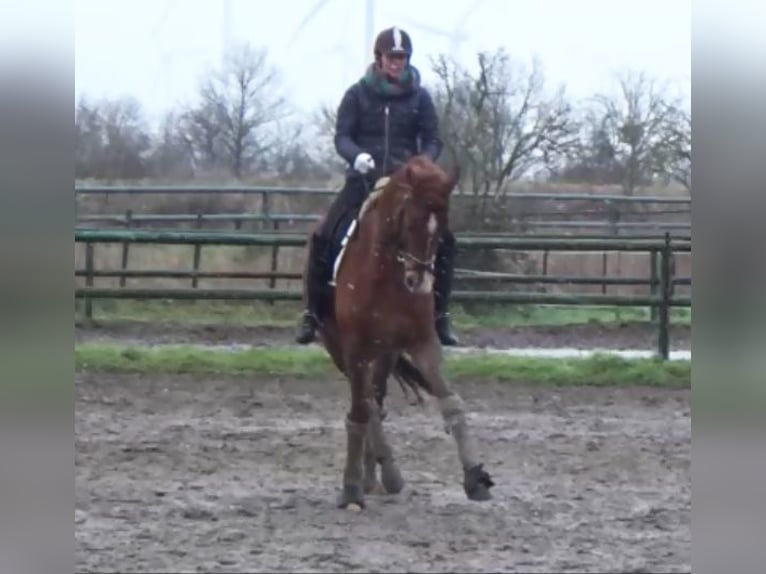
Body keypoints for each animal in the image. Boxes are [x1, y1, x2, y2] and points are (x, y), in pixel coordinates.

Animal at [304, 155, 496, 510]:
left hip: (385, 354)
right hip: (341, 350)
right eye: (411, 221)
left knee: (376, 401)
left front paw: (475, 477)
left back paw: (377, 476)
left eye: (442, 228)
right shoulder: (354, 348)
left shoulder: (421, 342)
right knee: (367, 405)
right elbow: (358, 413)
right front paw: (350, 490)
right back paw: (376, 476)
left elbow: (451, 402)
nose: (418, 283)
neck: (387, 276)